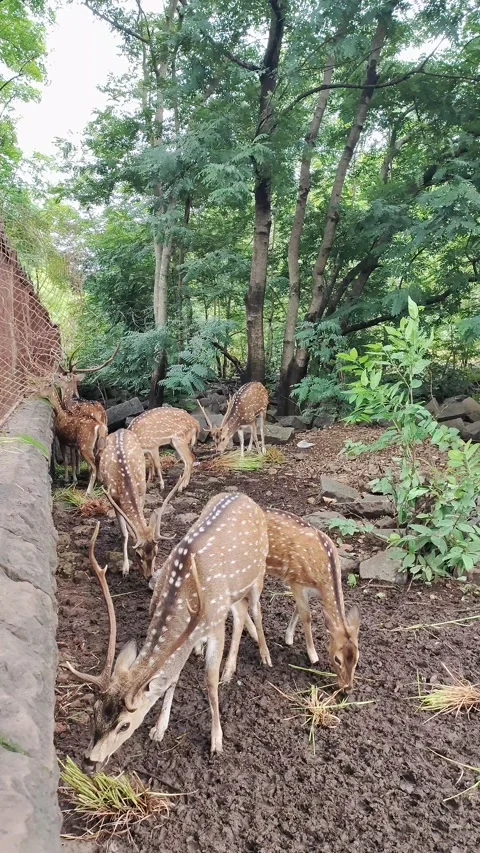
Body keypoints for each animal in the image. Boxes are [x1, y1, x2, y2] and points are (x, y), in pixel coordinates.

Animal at [66, 493, 272, 772]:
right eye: (92, 711)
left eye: (124, 725)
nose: (89, 763)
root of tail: (245, 497)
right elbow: (172, 677)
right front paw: (158, 729)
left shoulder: (216, 624)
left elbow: (209, 681)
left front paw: (216, 741)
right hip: (234, 591)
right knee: (240, 612)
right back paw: (214, 659)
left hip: (258, 574)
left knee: (253, 611)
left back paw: (256, 659)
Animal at [98, 428, 177, 579]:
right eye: (138, 555)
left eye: (156, 552)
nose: (149, 576)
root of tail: (120, 430)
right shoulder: (114, 498)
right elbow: (125, 533)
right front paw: (125, 568)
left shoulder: (142, 491)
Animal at [243, 509, 359, 691]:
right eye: (337, 658)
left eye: (357, 659)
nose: (347, 687)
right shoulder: (295, 581)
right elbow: (307, 615)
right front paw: (313, 655)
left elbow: (297, 609)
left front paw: (288, 637)